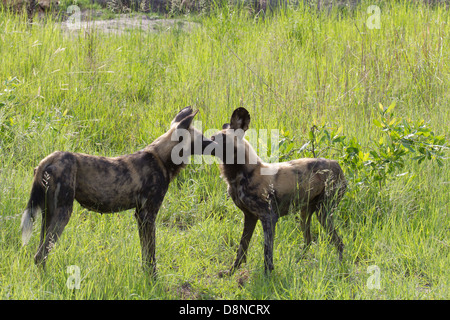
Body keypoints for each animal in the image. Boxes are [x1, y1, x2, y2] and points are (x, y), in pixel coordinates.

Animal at [22, 106, 215, 276]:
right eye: (202, 137)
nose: (215, 141)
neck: (161, 158)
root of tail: (49, 159)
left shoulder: (140, 216)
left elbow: (145, 255)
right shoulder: (148, 215)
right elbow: (151, 255)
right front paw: (152, 279)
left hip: (48, 214)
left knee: (40, 252)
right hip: (63, 212)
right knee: (40, 255)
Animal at [208, 108, 348, 276]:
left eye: (221, 139)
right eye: (212, 137)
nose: (204, 143)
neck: (241, 175)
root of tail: (336, 164)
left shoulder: (268, 218)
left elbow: (267, 252)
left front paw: (267, 277)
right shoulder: (250, 217)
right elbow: (242, 248)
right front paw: (231, 272)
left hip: (323, 214)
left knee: (339, 243)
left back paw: (340, 269)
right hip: (305, 215)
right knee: (308, 241)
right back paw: (298, 263)